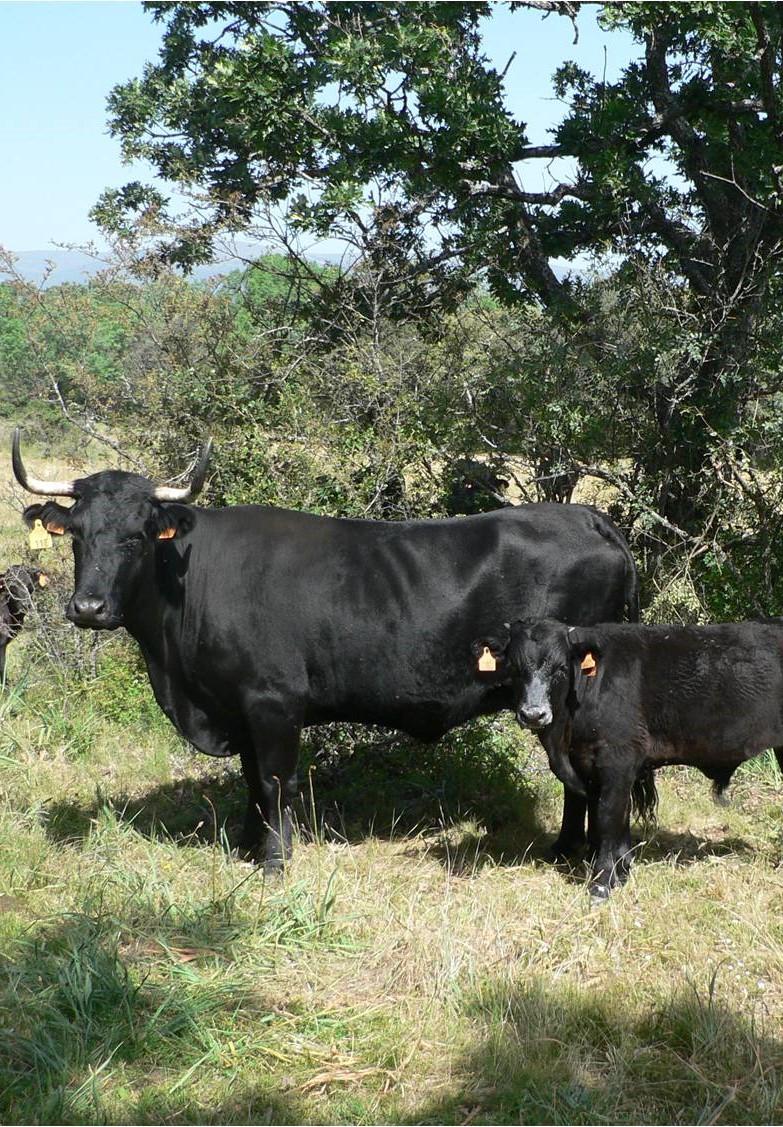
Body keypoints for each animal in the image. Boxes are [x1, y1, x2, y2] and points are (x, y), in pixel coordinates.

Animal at [12, 428, 638, 872]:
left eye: (137, 536)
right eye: (76, 534)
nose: (88, 607)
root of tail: (589, 518)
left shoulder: (272, 703)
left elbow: (273, 782)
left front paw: (273, 862)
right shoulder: (240, 707)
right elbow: (251, 781)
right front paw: (248, 848)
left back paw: (571, 851)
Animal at [472, 617, 783, 899]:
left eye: (560, 668)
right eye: (515, 669)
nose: (533, 714)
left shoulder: (617, 761)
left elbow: (608, 816)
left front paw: (602, 882)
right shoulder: (591, 766)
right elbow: (610, 820)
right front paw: (620, 870)